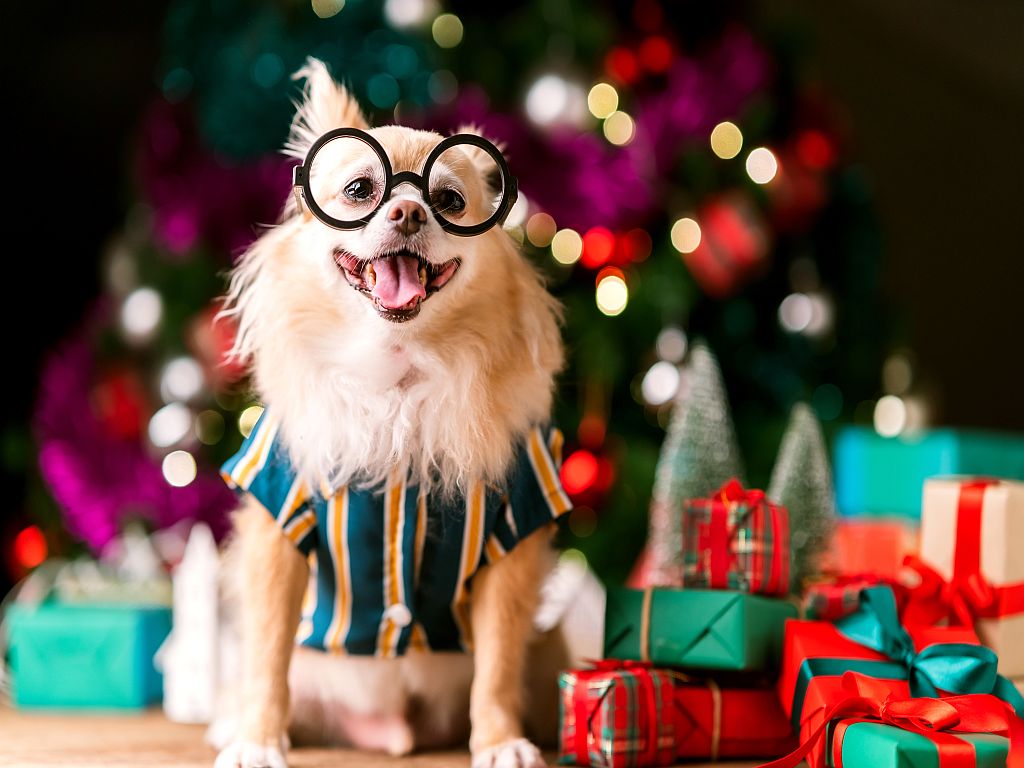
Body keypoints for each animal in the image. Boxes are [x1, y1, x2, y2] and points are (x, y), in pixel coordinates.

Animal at [212, 60, 573, 768]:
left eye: (450, 202)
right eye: (359, 190)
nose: (408, 211)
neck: (399, 371)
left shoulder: (515, 531)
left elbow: (496, 665)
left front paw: (500, 741)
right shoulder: (278, 518)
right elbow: (267, 652)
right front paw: (257, 738)